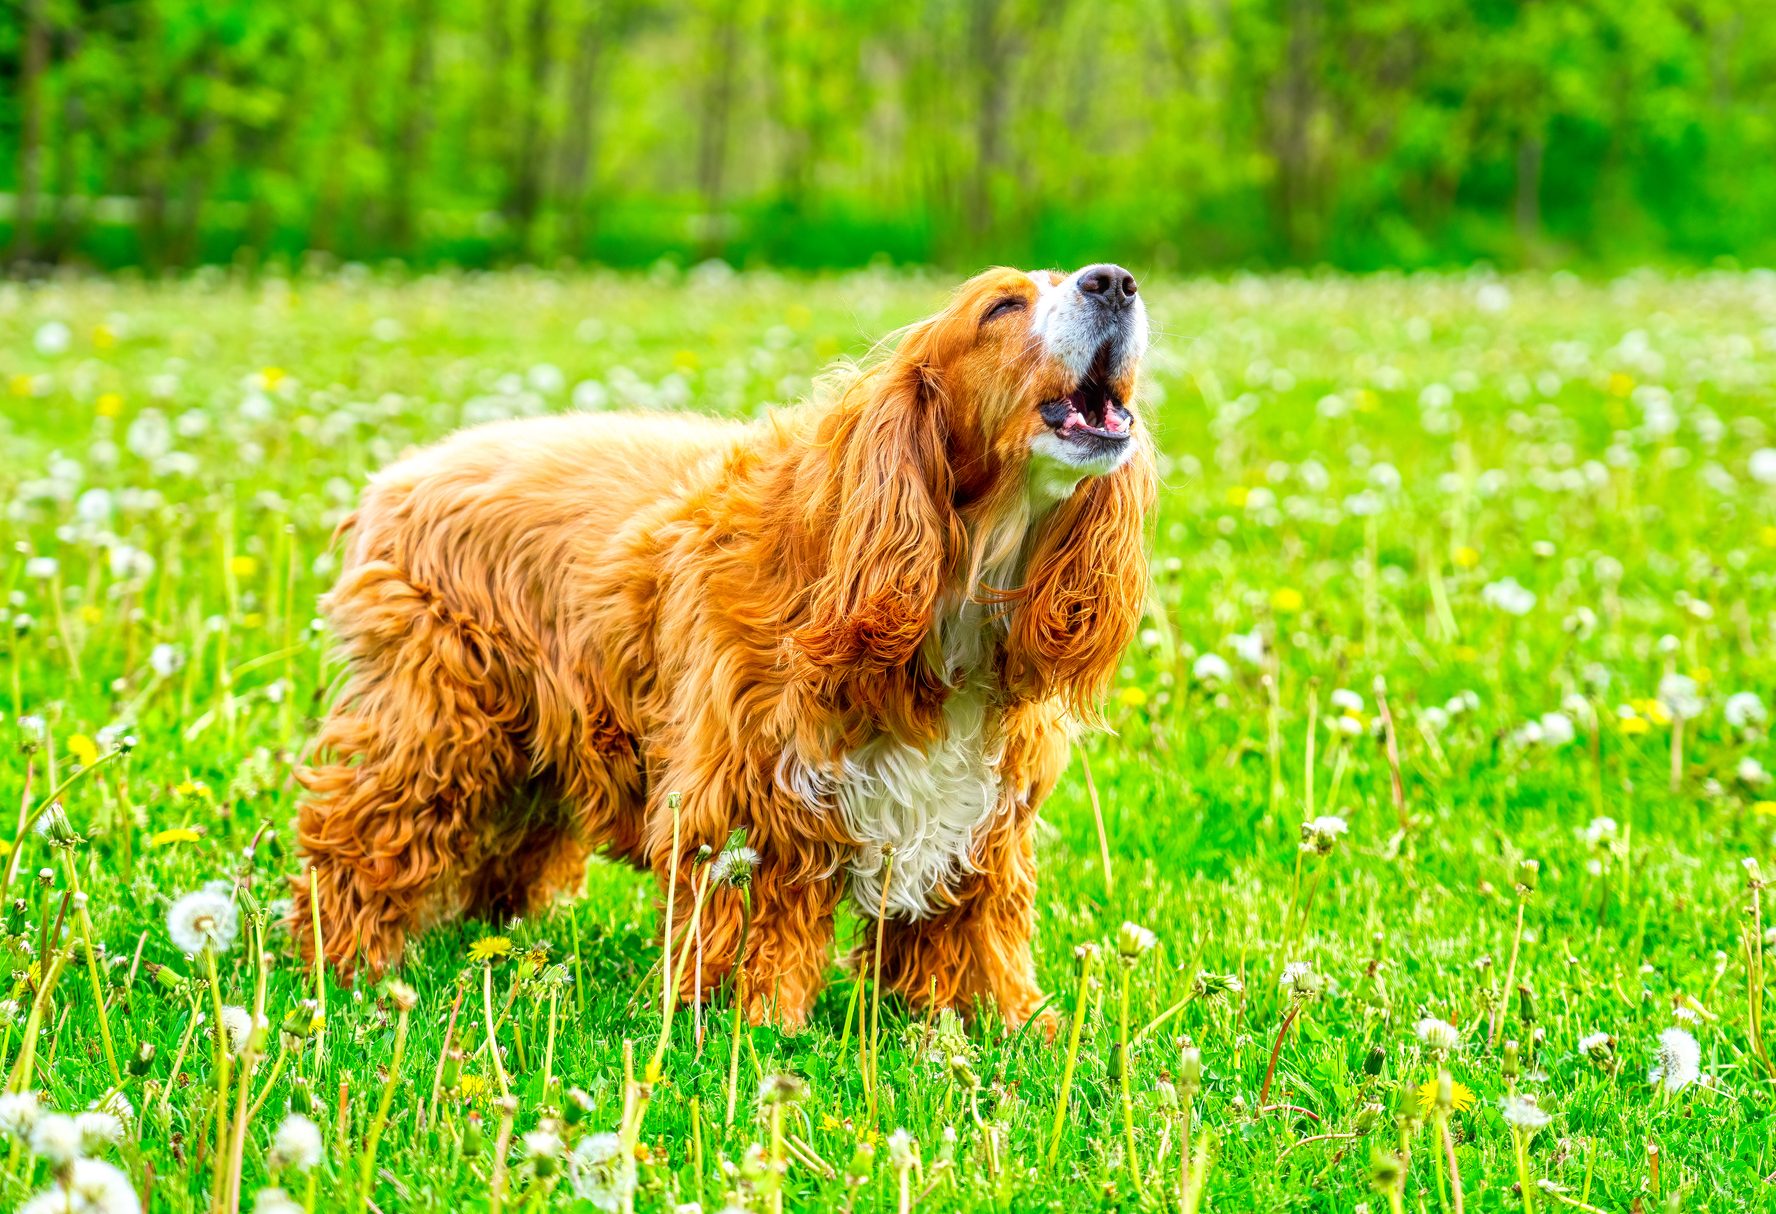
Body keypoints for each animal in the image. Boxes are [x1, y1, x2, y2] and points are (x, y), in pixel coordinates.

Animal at [291, 260, 1150, 1029]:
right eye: (1000, 306)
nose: (1113, 281)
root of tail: (399, 475)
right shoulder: (751, 796)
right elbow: (755, 929)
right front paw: (753, 1024)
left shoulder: (980, 815)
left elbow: (975, 925)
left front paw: (1004, 1021)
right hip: (436, 728)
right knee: (354, 837)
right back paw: (345, 963)